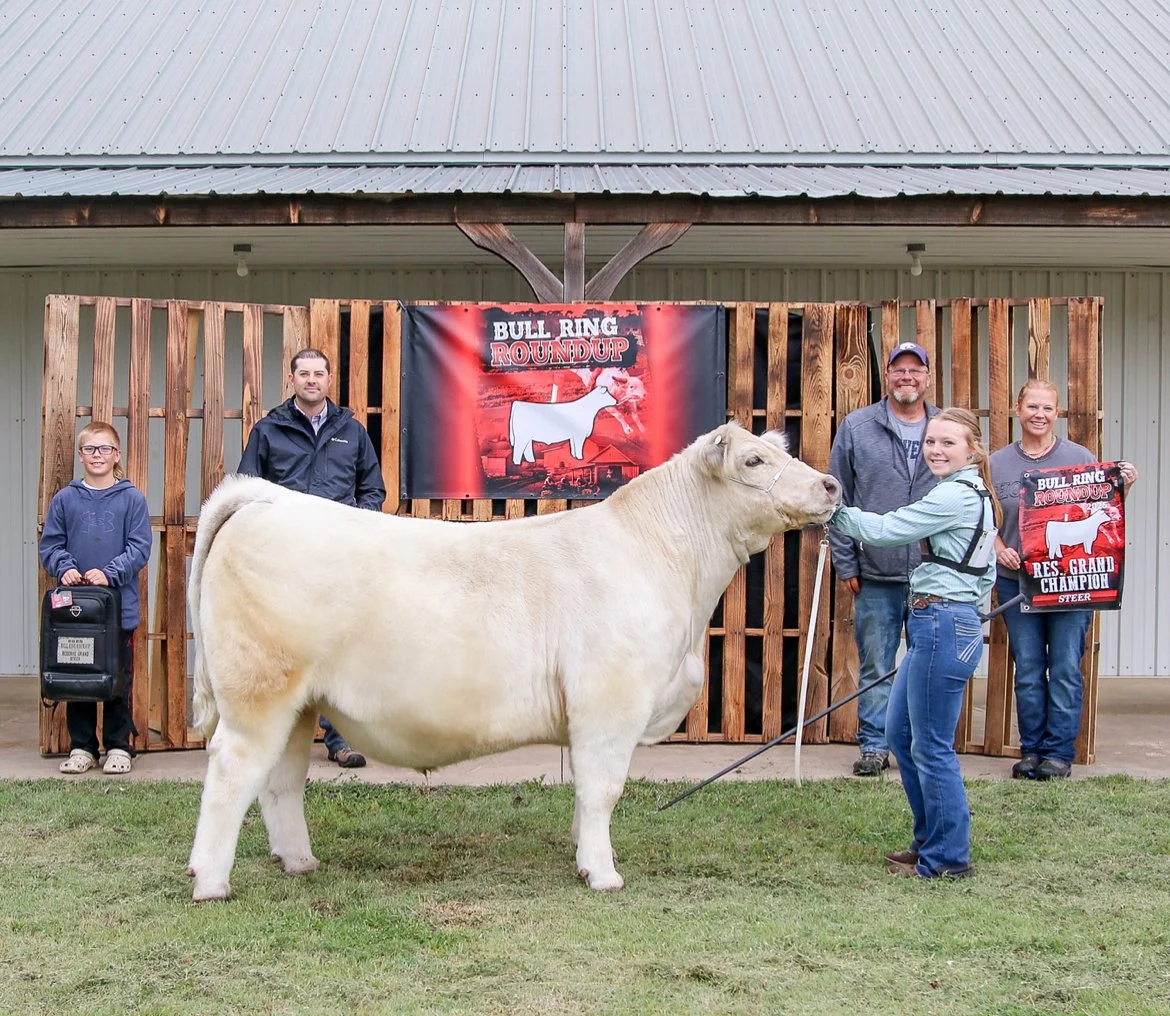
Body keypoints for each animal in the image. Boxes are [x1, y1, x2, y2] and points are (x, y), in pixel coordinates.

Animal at [185, 422, 841, 901]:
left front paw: (586, 855)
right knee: (232, 770)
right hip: (259, 692)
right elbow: (604, 788)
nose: (832, 486)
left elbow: (586, 793)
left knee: (281, 779)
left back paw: (298, 861)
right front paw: (603, 874)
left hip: (300, 701)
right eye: (753, 462)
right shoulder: (611, 700)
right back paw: (211, 881)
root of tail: (268, 500)